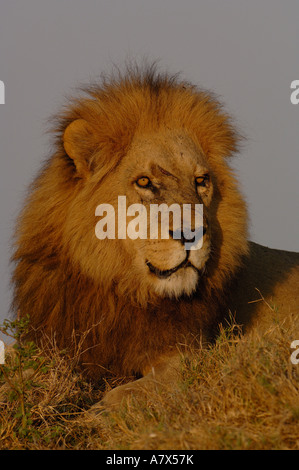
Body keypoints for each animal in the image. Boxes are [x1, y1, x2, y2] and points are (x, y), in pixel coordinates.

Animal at [11, 64, 299, 410]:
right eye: (145, 181)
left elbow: (123, 396)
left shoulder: (189, 358)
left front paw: (97, 414)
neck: (117, 289)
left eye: (201, 181)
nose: (193, 233)